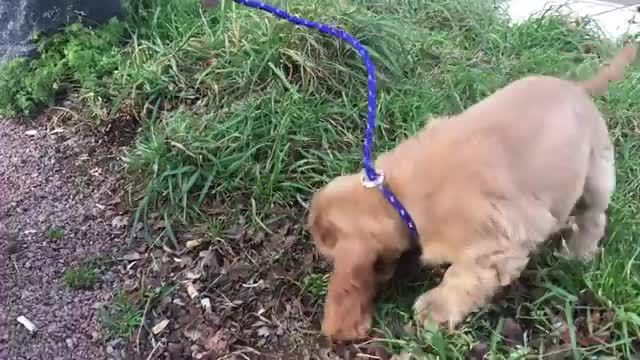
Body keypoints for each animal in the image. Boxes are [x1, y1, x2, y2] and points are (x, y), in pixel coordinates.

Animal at [308, 44, 636, 340]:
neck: (397, 196)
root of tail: (575, 88)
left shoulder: (496, 245)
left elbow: (463, 276)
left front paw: (436, 309)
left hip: (596, 172)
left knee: (594, 217)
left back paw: (577, 253)